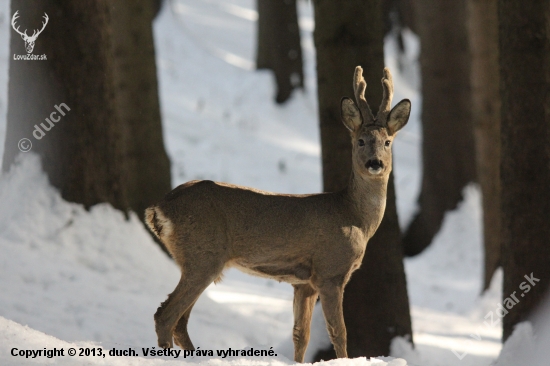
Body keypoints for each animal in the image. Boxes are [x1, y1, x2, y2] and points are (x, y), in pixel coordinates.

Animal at [144, 66, 412, 364]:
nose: (375, 163)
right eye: (361, 141)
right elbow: (338, 332)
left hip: (197, 259)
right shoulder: (329, 271)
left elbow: (301, 335)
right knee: (166, 315)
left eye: (387, 142)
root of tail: (159, 207)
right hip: (203, 255)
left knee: (180, 322)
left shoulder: (303, 283)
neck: (355, 218)